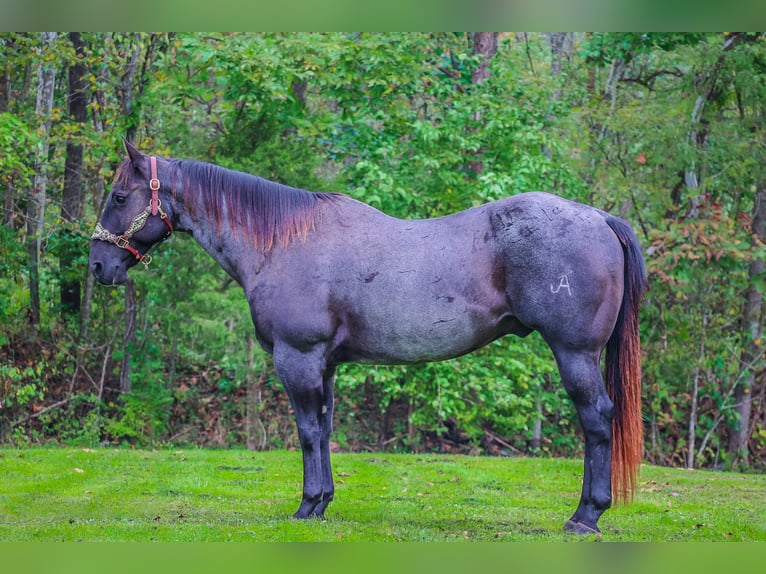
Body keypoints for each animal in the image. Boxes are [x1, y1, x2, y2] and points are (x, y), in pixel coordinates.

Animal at [89, 141, 646, 535]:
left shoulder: (298, 359)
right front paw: (322, 503)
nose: (98, 265)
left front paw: (306, 506)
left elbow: (307, 431)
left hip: (575, 354)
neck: (281, 243)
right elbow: (324, 429)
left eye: (119, 196)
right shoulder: (327, 364)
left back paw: (585, 517)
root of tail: (599, 218)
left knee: (597, 420)